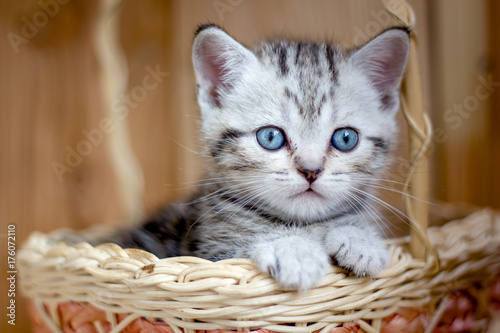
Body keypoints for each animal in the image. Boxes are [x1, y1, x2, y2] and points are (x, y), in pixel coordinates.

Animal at [110, 24, 410, 290]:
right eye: (270, 137)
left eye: (345, 139)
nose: (310, 171)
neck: (306, 224)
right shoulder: (209, 255)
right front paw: (293, 249)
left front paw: (361, 238)